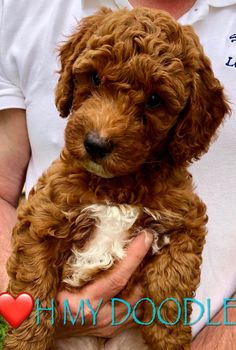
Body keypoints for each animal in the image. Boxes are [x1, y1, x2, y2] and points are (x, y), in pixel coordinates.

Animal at [4, 6, 230, 350]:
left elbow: (174, 279)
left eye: (154, 99)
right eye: (94, 77)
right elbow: (33, 285)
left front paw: (169, 337)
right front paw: (25, 341)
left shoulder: (185, 220)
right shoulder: (41, 218)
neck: (117, 186)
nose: (96, 144)